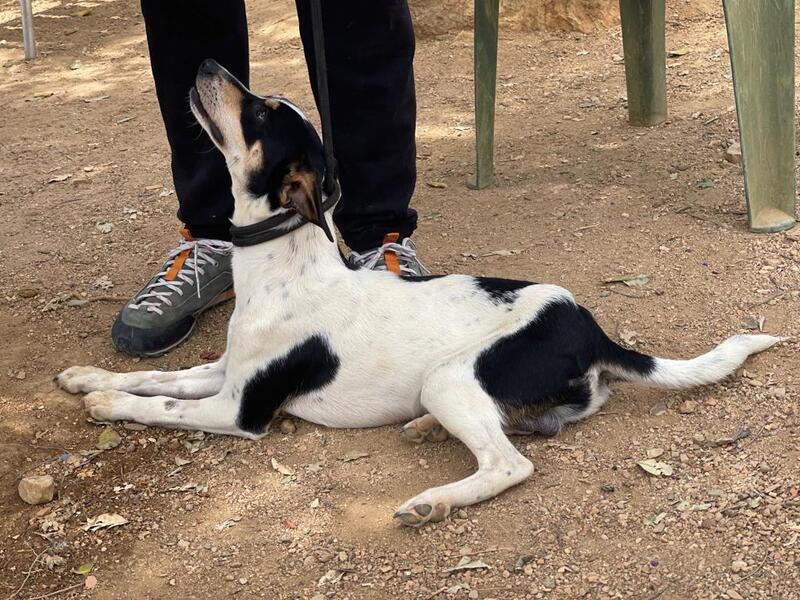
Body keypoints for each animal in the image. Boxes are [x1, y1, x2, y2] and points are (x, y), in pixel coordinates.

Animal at [57, 61, 780, 528]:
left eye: (259, 112)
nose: (208, 61)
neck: (285, 264)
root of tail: (592, 327)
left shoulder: (241, 409)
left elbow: (160, 407)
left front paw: (106, 404)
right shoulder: (226, 370)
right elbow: (161, 377)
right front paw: (88, 377)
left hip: (453, 377)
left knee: (510, 464)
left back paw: (434, 501)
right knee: (534, 424)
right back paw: (426, 428)